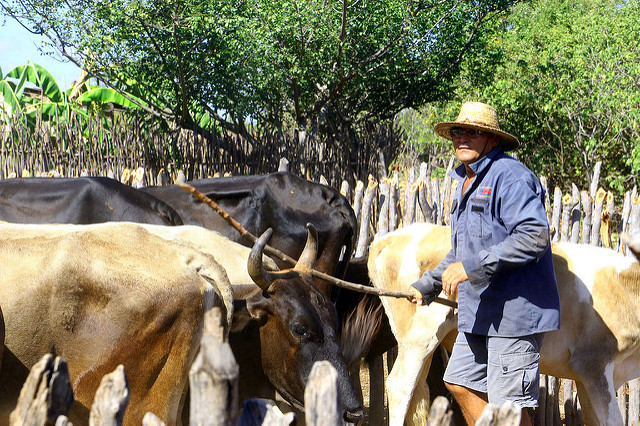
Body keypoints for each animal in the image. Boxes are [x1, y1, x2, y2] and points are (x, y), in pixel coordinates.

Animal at [368, 223, 640, 426]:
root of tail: (389, 238)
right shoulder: (593, 364)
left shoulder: (587, 377)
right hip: (419, 336)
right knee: (400, 387)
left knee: (418, 391)